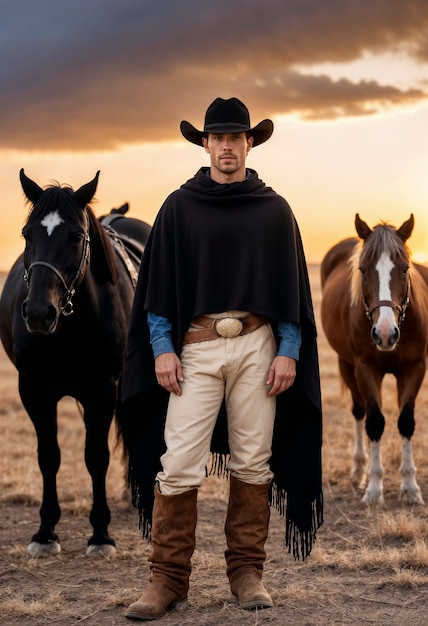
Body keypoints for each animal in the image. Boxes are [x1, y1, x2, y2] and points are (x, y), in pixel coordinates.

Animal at [0, 169, 150, 556]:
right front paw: (45, 531)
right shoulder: (34, 390)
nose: (39, 313)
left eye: (77, 237)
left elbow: (96, 457)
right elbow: (48, 456)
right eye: (27, 233)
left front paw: (100, 534)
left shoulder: (101, 391)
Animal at [320, 213, 428, 502]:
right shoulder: (365, 369)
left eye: (404, 268)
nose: (385, 333)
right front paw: (374, 487)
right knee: (359, 412)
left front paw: (410, 486)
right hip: (346, 365)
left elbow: (406, 421)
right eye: (363, 270)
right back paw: (359, 470)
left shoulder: (414, 368)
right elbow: (375, 422)